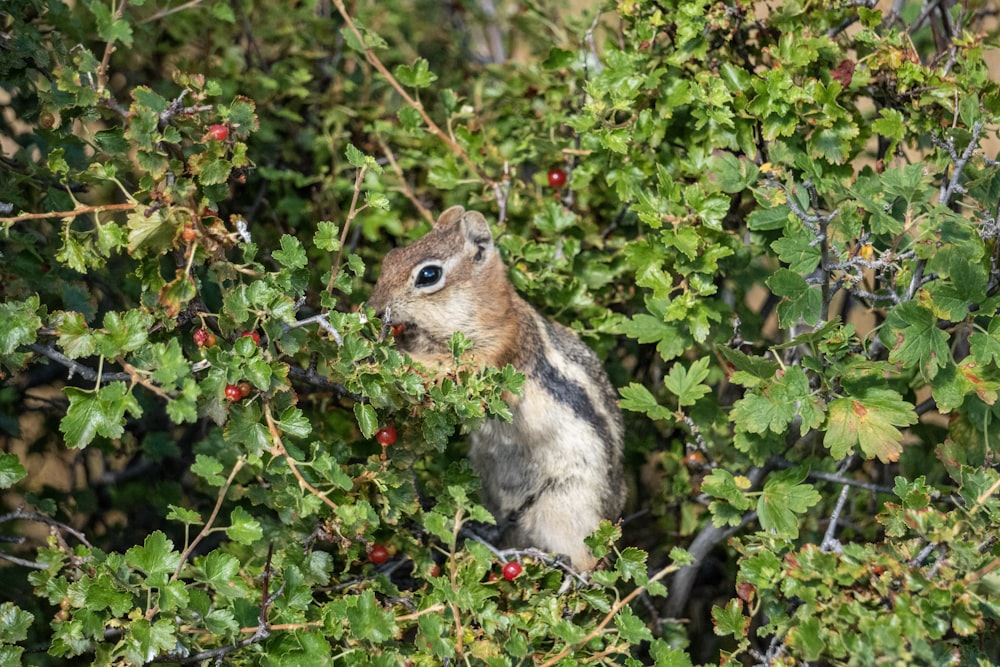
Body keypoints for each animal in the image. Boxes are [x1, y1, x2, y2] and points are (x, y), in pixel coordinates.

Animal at [370, 205, 624, 568]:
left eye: (428, 275)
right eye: (391, 257)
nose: (374, 309)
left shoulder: (495, 353)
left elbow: (446, 370)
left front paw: (393, 357)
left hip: (564, 506)